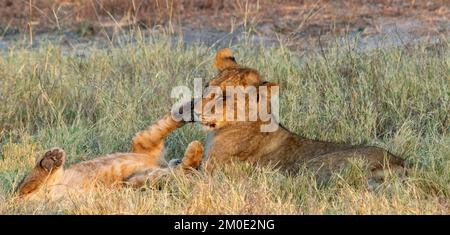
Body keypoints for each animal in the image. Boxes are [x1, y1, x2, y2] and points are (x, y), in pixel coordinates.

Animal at [15, 112, 202, 200]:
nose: (176, 160)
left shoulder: (135, 181)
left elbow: (180, 172)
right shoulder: (144, 142)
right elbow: (167, 122)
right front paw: (191, 107)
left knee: (28, 185)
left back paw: (52, 160)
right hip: (27, 189)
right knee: (25, 185)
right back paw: (52, 158)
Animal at [188, 47, 406, 183]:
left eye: (225, 97)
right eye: (207, 86)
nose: (195, 110)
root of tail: (400, 163)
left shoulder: (211, 172)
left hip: (311, 167)